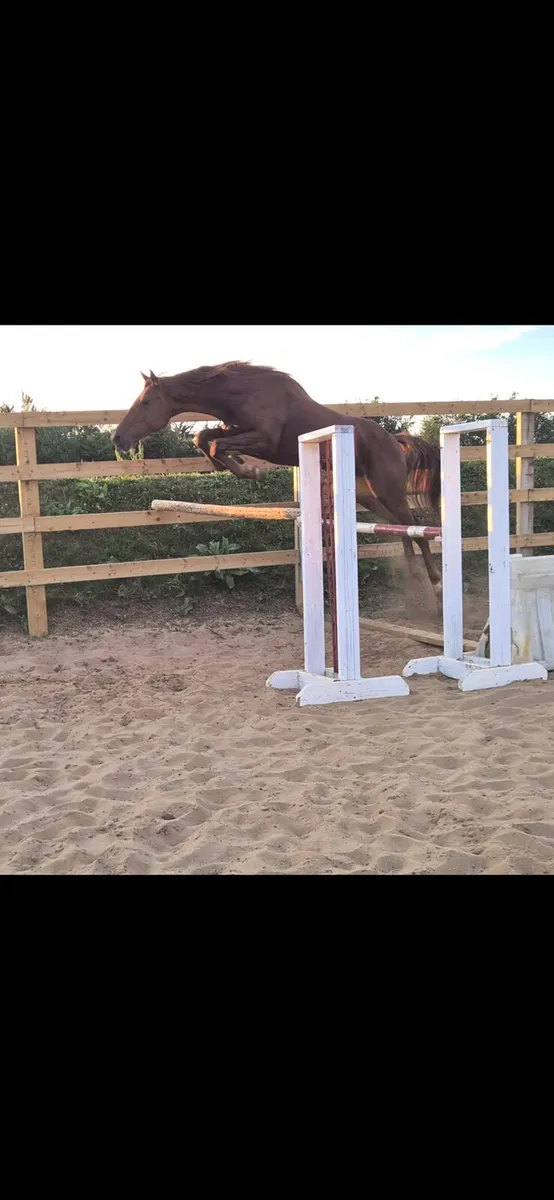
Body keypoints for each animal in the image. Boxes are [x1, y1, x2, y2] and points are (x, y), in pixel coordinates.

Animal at [113, 362, 442, 599]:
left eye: (146, 402)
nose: (118, 438)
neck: (242, 392)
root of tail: (395, 440)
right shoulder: (234, 428)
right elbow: (203, 437)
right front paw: (231, 465)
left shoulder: (264, 441)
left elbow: (215, 443)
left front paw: (248, 470)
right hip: (367, 494)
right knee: (401, 527)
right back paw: (414, 577)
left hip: (389, 491)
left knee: (415, 527)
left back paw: (436, 585)